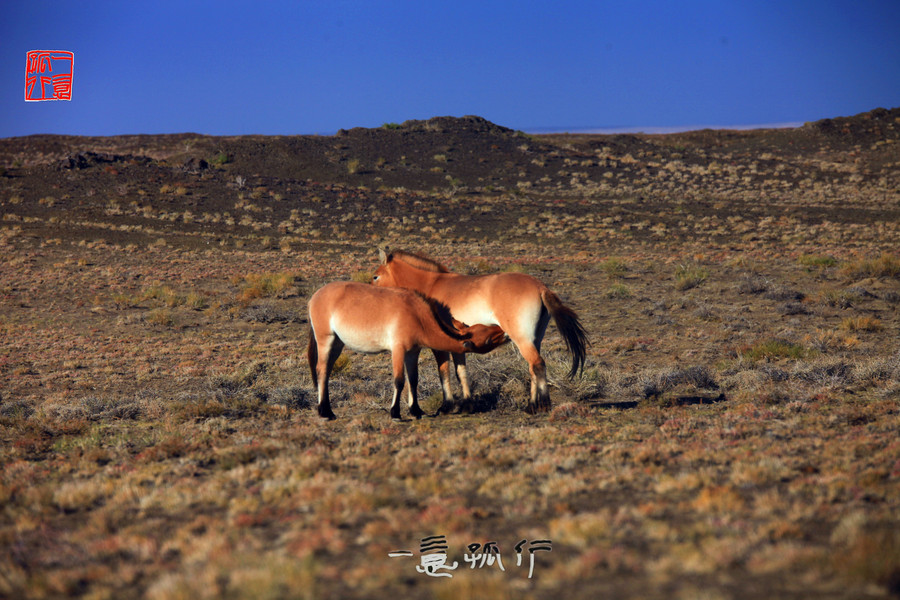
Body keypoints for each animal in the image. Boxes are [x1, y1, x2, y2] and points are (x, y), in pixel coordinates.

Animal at [308, 280, 506, 418]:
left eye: (485, 328)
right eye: (488, 339)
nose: (503, 331)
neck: (417, 314)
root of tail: (315, 296)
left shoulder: (412, 352)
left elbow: (413, 380)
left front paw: (416, 410)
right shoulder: (398, 350)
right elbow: (399, 380)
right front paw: (395, 412)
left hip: (337, 344)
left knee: (326, 371)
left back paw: (327, 410)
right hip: (326, 340)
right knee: (322, 370)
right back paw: (325, 412)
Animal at [372, 248, 592, 412]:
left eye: (375, 276)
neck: (431, 285)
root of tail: (540, 287)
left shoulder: (440, 345)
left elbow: (444, 371)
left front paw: (446, 406)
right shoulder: (459, 343)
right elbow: (461, 372)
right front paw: (467, 404)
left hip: (522, 339)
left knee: (537, 364)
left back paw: (541, 405)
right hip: (535, 339)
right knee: (533, 367)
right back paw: (532, 404)